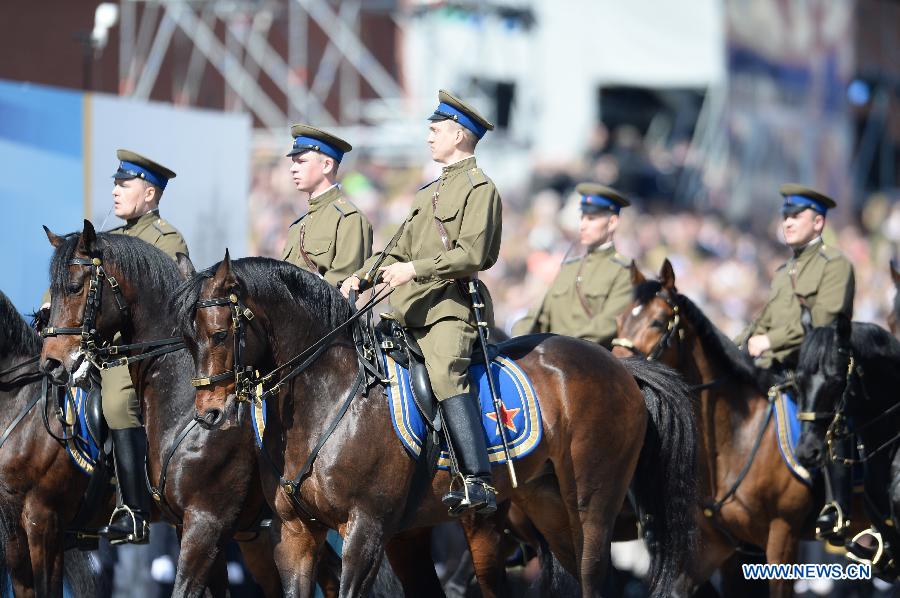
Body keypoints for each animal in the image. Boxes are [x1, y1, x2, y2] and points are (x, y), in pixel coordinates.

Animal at [171, 254, 696, 598]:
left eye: (219, 333)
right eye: (186, 338)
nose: (210, 415)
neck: (329, 399)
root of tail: (618, 366)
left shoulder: (366, 530)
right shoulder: (297, 534)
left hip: (592, 507)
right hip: (545, 506)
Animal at [612, 260, 844, 596]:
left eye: (657, 321)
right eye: (618, 320)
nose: (616, 372)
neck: (736, 440)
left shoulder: (782, 537)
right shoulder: (718, 544)